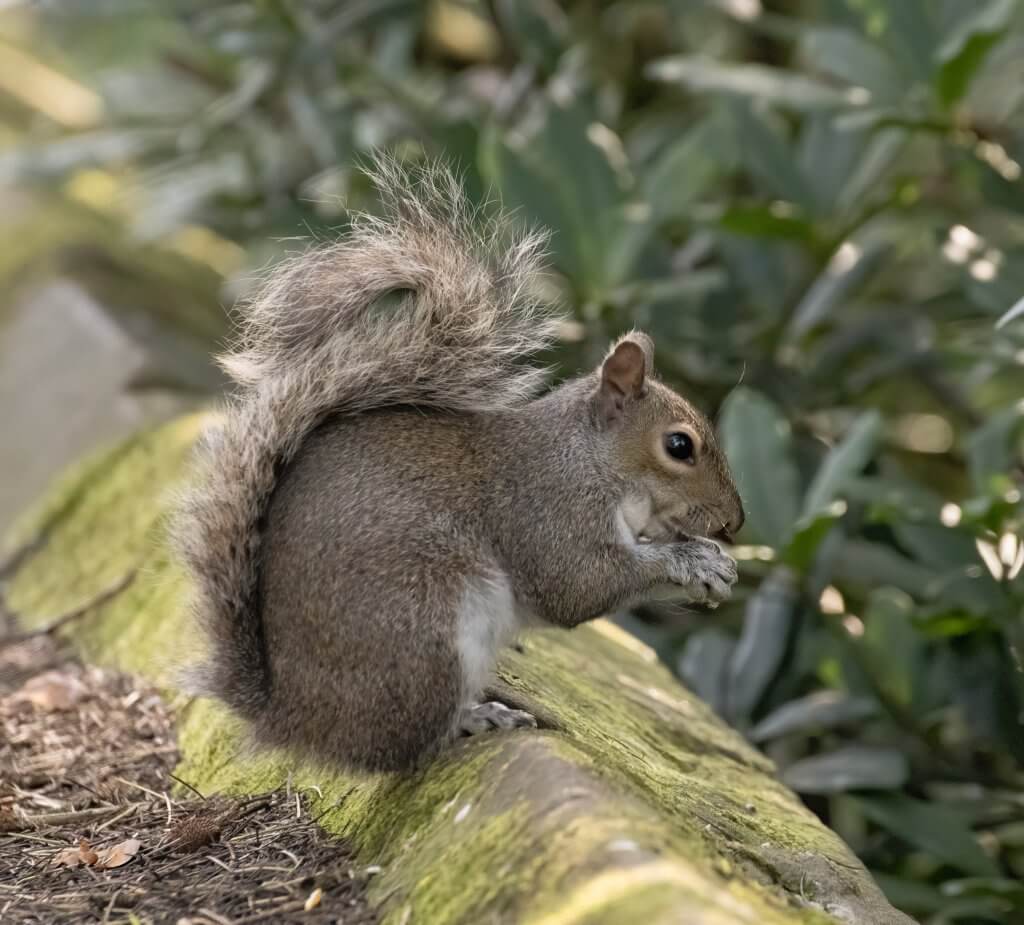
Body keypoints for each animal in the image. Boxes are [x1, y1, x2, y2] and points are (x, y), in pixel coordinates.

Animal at [172, 160, 741, 774]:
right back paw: (477, 718)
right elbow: (582, 585)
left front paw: (709, 561)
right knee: (408, 748)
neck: (589, 460)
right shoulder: (548, 512)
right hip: (426, 627)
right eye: (679, 446)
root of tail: (295, 719)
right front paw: (693, 562)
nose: (734, 523)